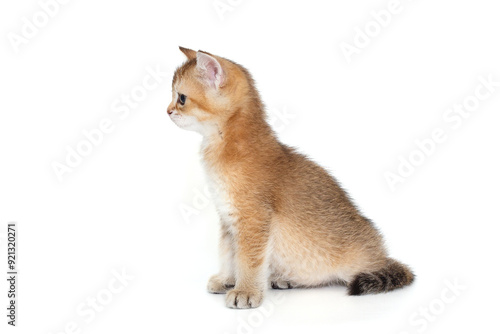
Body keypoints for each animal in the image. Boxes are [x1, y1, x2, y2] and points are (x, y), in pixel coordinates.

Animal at [167, 46, 414, 308]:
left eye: (181, 98)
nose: (168, 110)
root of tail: (381, 254)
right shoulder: (227, 219)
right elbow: (227, 253)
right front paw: (227, 279)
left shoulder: (252, 219)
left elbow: (248, 260)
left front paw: (245, 290)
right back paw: (284, 279)